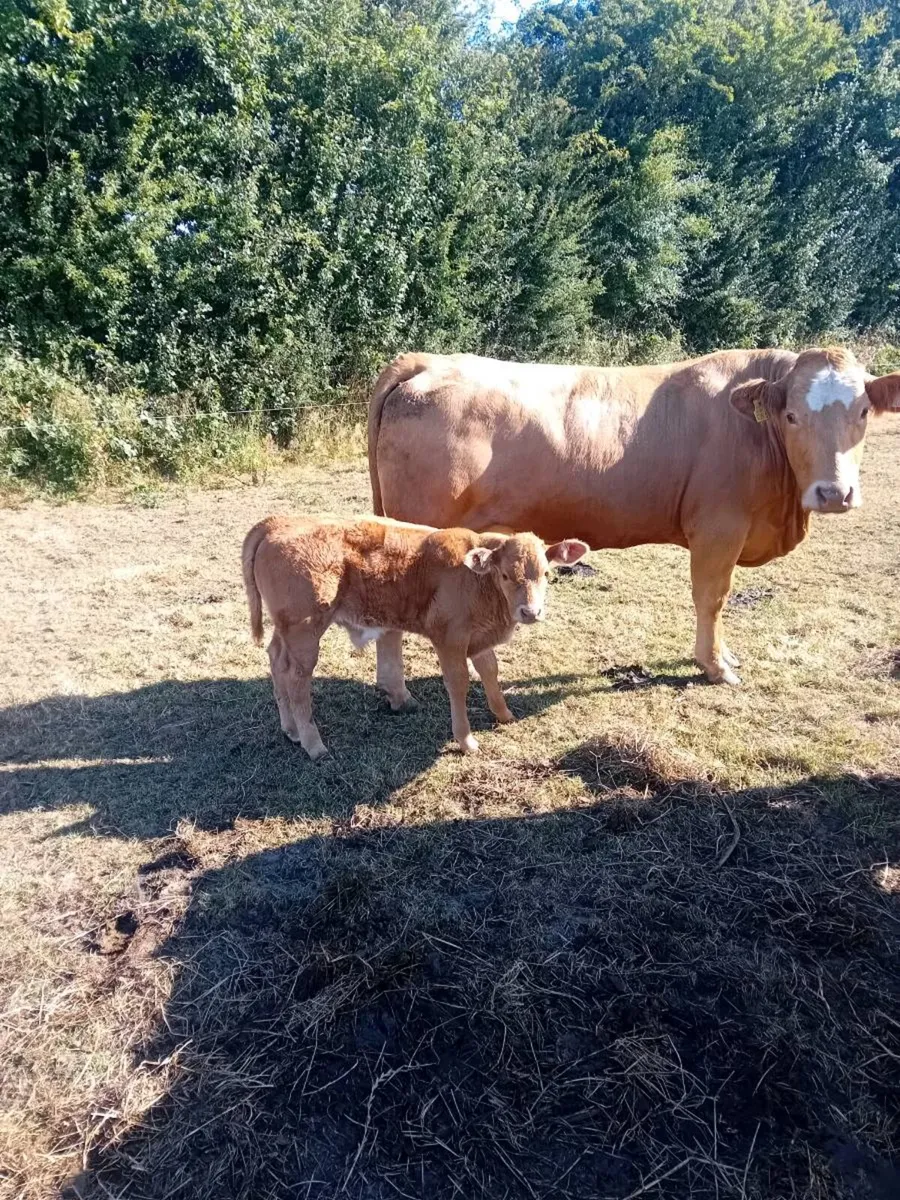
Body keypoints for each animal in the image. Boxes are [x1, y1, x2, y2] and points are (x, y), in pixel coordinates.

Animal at [242, 515, 588, 759]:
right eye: (504, 575)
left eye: (545, 573)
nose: (530, 612)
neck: (477, 580)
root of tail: (278, 523)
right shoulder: (450, 639)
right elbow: (459, 683)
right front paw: (466, 740)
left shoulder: (478, 637)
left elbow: (490, 670)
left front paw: (504, 715)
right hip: (305, 631)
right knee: (296, 679)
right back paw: (313, 744)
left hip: (286, 631)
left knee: (276, 660)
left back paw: (291, 730)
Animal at [368, 346, 900, 686]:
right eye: (792, 416)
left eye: (862, 414)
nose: (834, 492)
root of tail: (428, 361)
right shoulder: (719, 529)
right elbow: (712, 598)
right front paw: (716, 666)